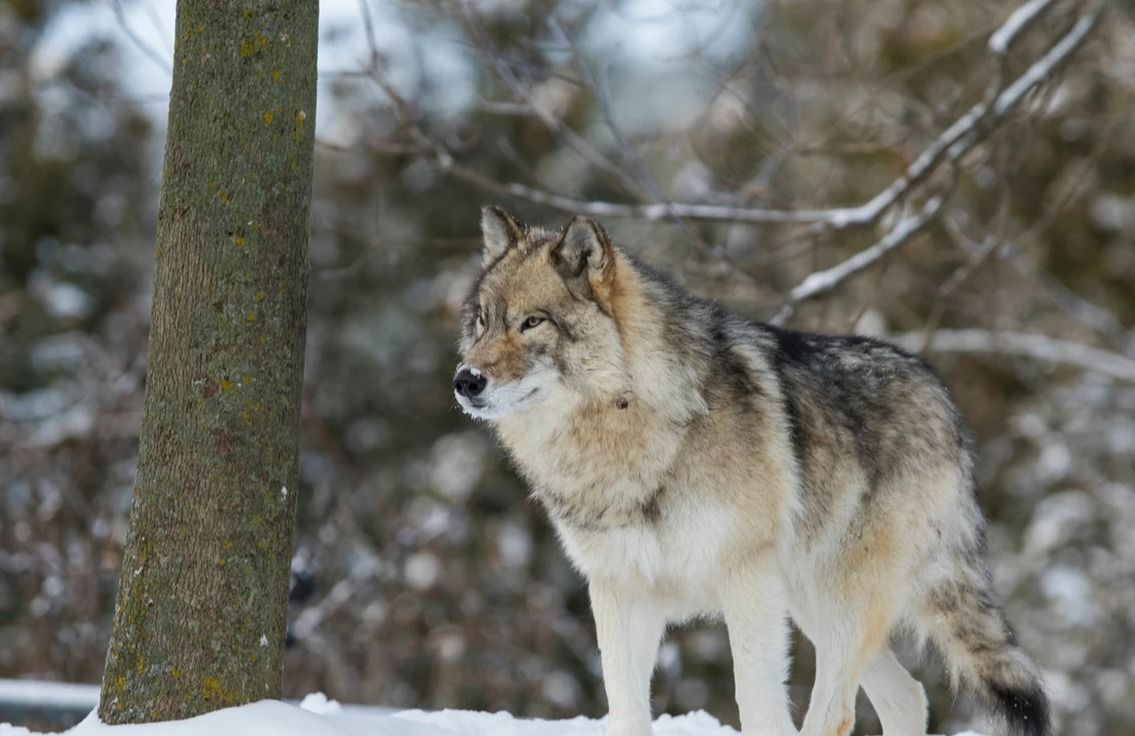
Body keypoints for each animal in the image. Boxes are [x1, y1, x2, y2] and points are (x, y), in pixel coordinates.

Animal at [449, 205, 1044, 736]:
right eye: (481, 321)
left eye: (532, 322)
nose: (465, 380)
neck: (634, 432)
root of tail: (942, 398)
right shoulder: (619, 590)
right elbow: (625, 711)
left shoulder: (746, 580)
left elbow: (756, 704)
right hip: (812, 604)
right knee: (907, 696)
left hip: (838, 601)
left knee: (839, 711)